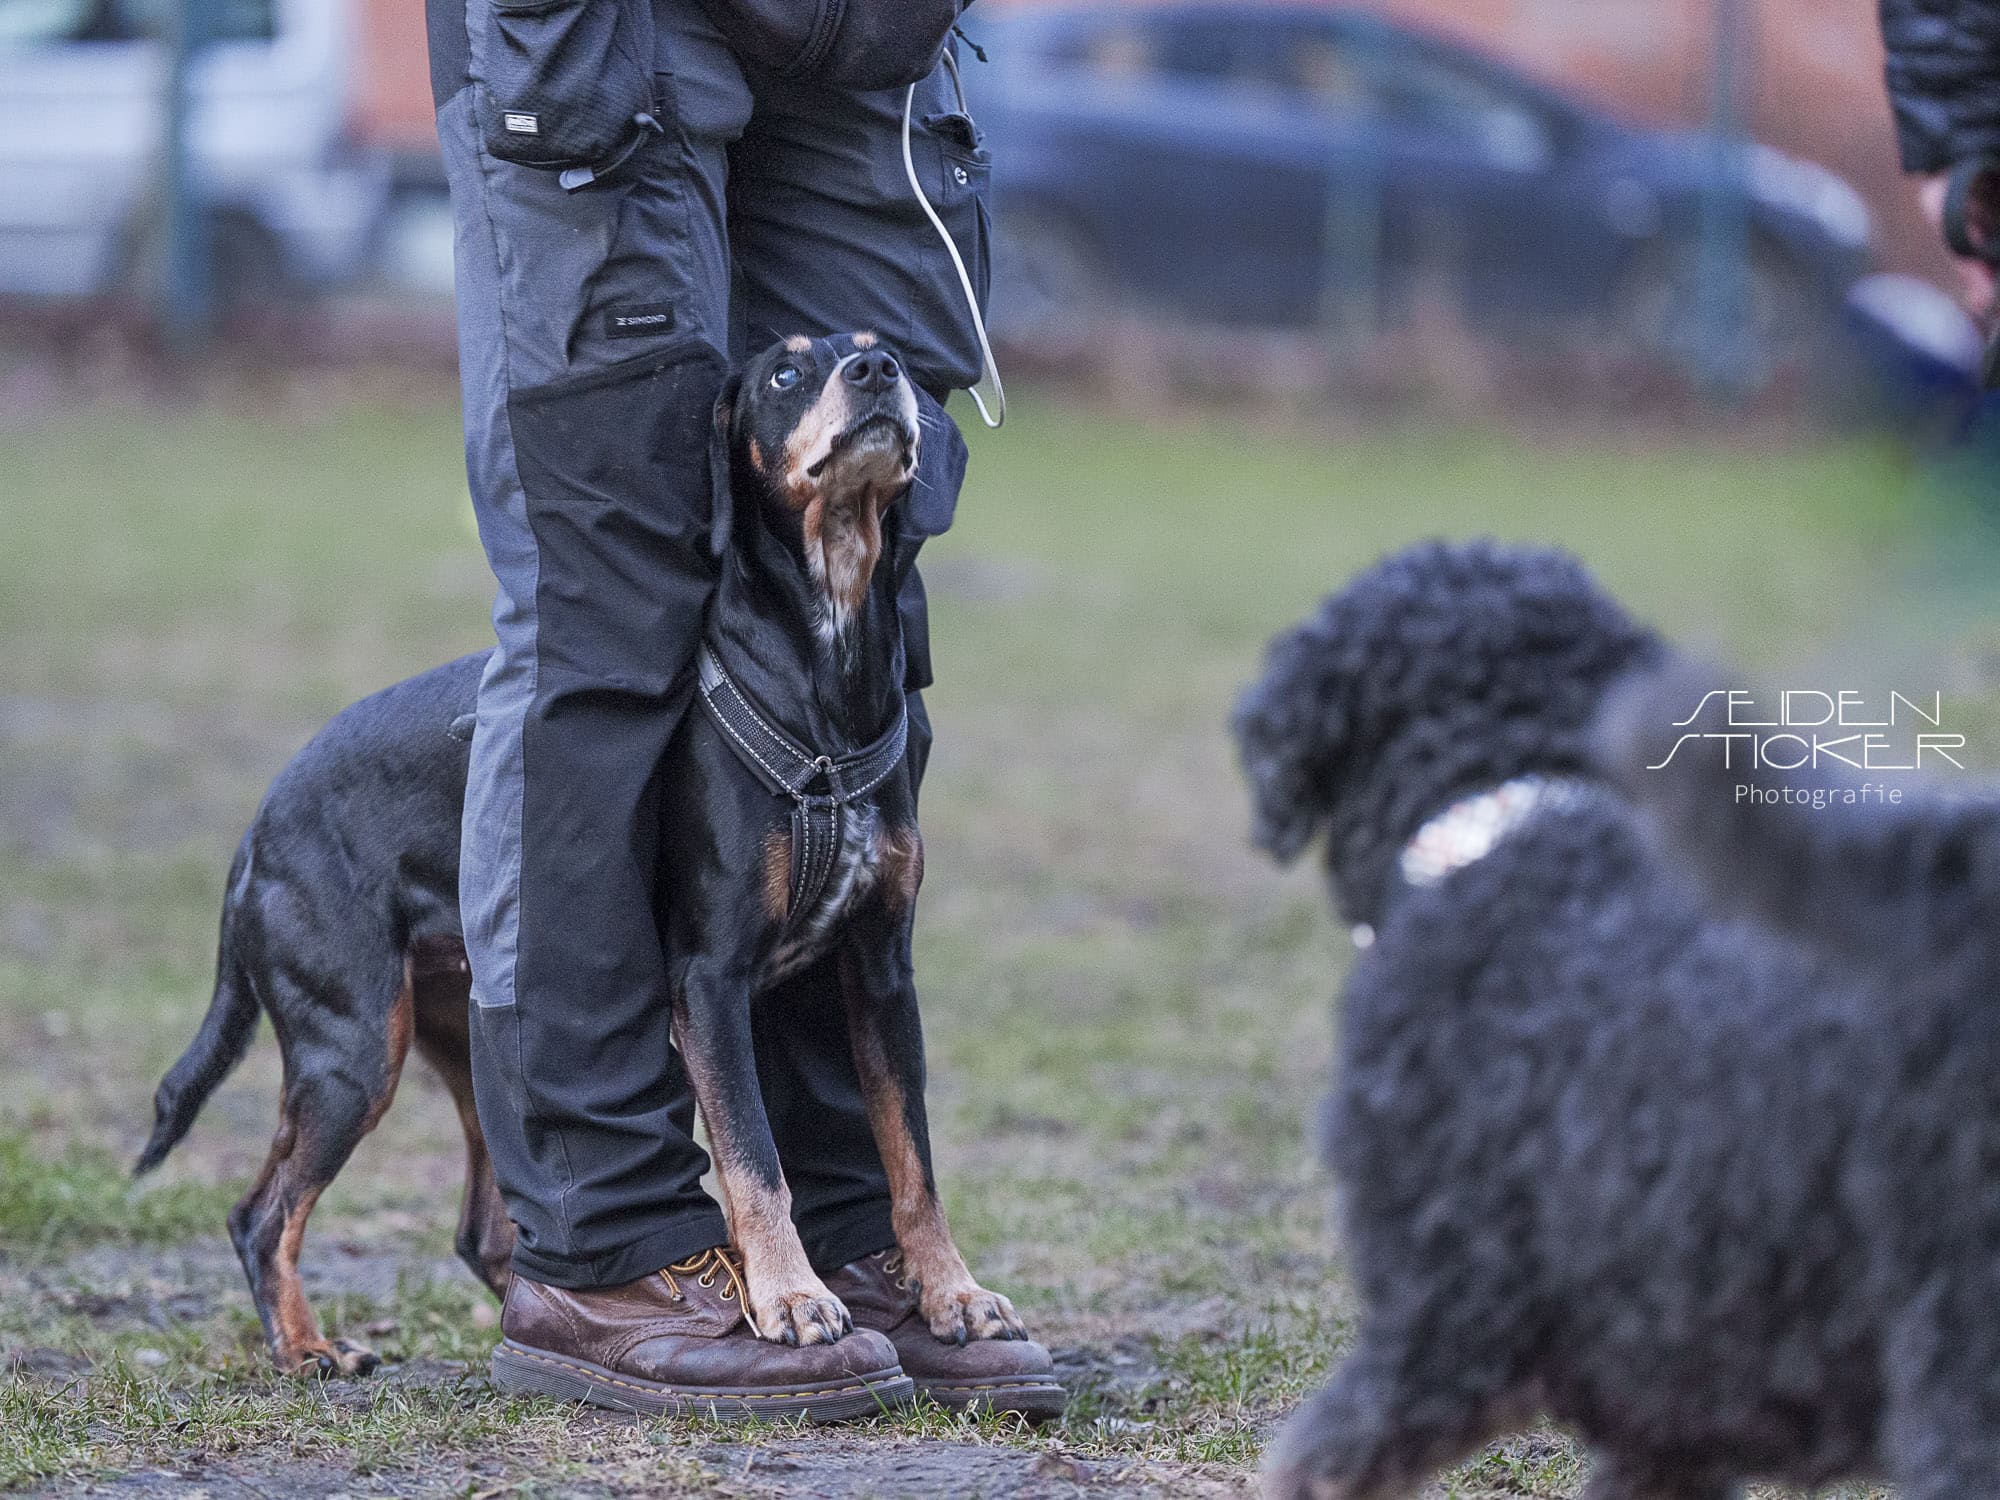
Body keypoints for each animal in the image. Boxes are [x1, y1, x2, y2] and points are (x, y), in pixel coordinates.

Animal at [135, 333, 1024, 1376]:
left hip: (466, 1037)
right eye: (785, 373)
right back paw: (310, 1347)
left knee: (482, 1230)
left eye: (885, 353)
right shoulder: (709, 982)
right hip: (352, 1047)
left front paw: (953, 1297)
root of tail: (257, 831)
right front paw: (792, 1299)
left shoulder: (882, 973)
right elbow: (755, 1160)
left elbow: (912, 1161)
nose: (877, 374)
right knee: (261, 1213)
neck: (822, 675)